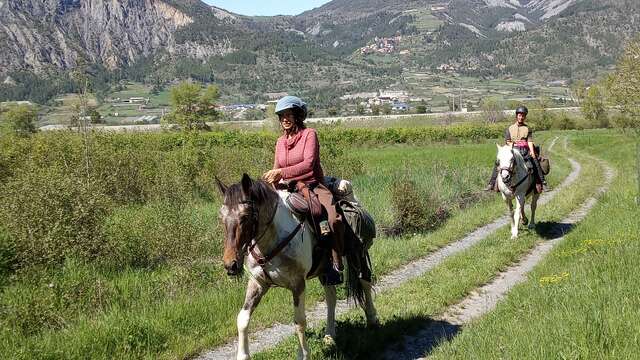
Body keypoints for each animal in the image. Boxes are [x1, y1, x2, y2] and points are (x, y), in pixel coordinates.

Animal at [219, 173, 380, 358]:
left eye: (245, 216)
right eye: (221, 217)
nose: (230, 265)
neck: (274, 238)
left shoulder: (298, 284)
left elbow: (299, 321)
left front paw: (303, 354)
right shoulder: (258, 283)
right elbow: (242, 319)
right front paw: (243, 355)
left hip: (357, 255)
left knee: (365, 281)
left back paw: (372, 319)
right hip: (326, 270)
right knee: (331, 297)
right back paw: (329, 334)